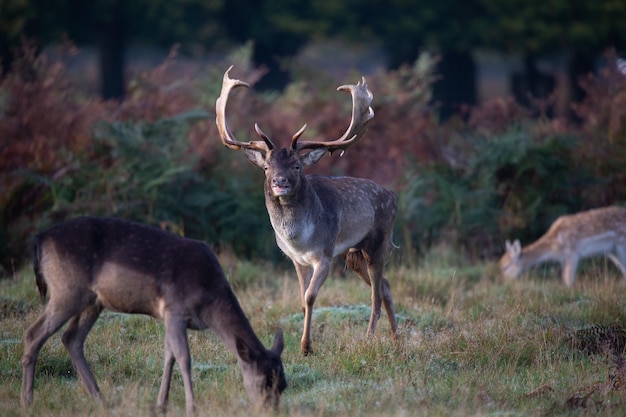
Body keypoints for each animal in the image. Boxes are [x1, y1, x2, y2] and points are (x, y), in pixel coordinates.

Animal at [21, 216, 286, 412]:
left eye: (283, 384)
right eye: (262, 382)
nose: (270, 411)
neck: (209, 301)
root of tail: (39, 240)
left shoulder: (170, 317)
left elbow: (169, 355)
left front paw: (161, 404)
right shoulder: (175, 309)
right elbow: (183, 358)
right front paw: (191, 407)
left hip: (92, 301)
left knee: (71, 338)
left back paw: (100, 398)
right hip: (66, 290)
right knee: (33, 333)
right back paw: (28, 401)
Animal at [214, 66, 398, 356]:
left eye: (297, 166)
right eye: (266, 167)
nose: (280, 182)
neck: (299, 239)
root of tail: (394, 196)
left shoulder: (323, 255)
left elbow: (311, 297)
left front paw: (306, 347)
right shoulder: (296, 260)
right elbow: (302, 300)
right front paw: (304, 345)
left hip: (378, 242)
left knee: (377, 293)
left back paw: (369, 337)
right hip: (351, 253)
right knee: (387, 286)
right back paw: (396, 338)